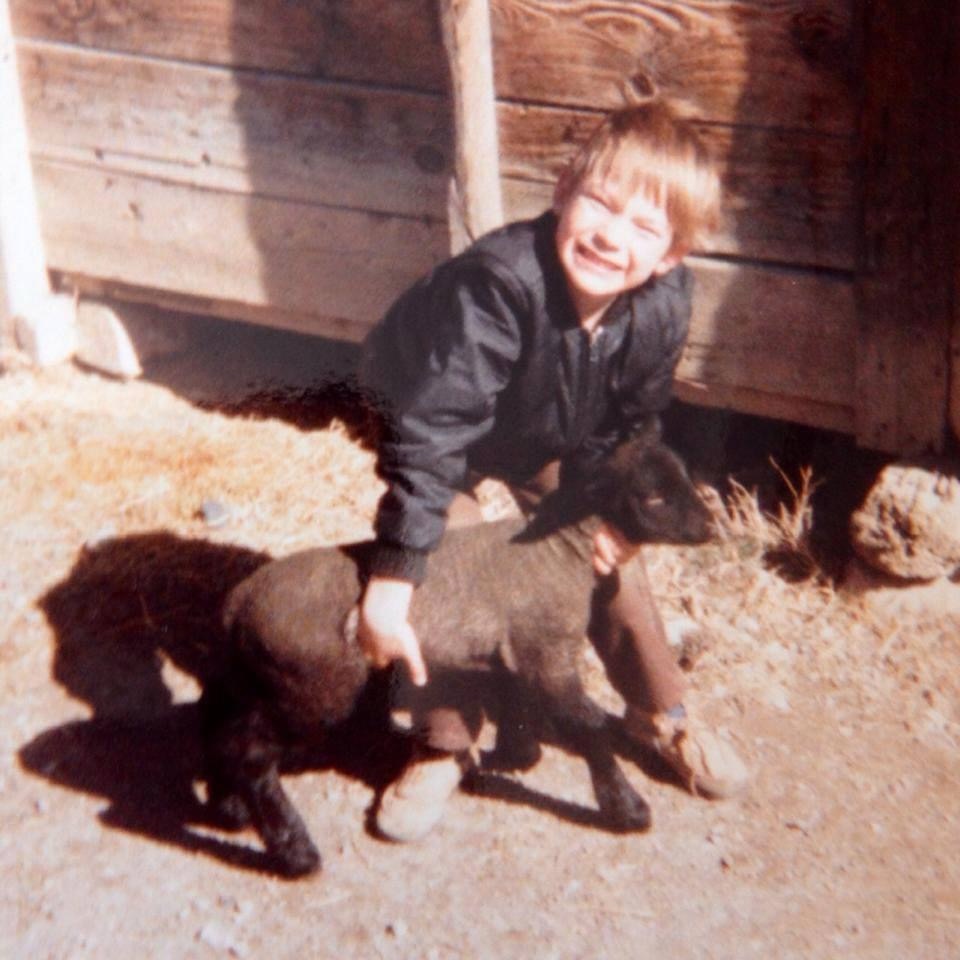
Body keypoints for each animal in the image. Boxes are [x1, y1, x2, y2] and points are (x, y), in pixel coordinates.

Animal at [200, 428, 713, 876]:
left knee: (226, 735)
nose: (708, 526)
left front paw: (514, 756)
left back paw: (231, 809)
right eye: (652, 496)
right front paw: (627, 809)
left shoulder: (518, 651)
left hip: (263, 683)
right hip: (311, 689)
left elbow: (518, 706)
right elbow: (589, 729)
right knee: (251, 755)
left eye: (685, 477)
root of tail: (238, 602)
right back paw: (296, 852)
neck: (564, 550)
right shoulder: (549, 655)